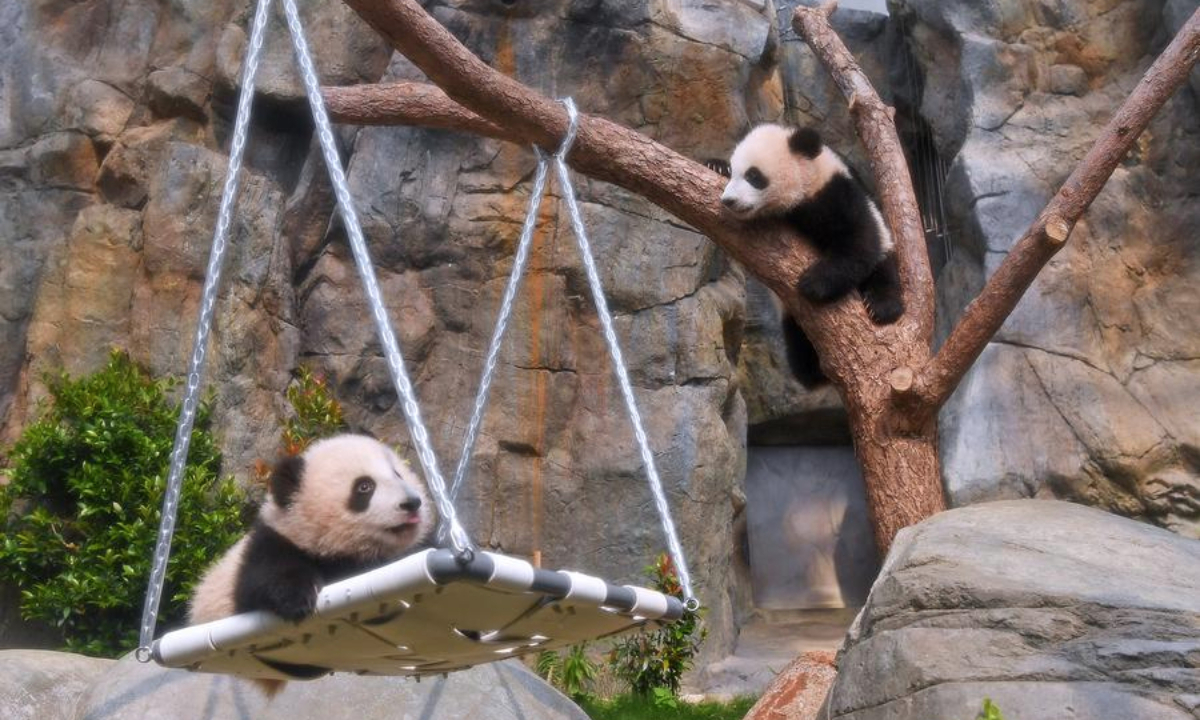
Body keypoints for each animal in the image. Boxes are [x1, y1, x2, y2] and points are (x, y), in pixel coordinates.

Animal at [188, 433, 434, 694]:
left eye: (397, 474)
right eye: (364, 486)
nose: (412, 503)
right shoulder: (273, 544)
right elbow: (266, 578)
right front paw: (297, 600)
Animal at [710, 124, 904, 387]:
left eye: (753, 176)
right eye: (734, 172)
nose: (728, 200)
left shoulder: (836, 194)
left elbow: (860, 242)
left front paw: (813, 283)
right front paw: (716, 166)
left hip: (885, 251)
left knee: (883, 269)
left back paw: (882, 306)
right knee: (799, 352)